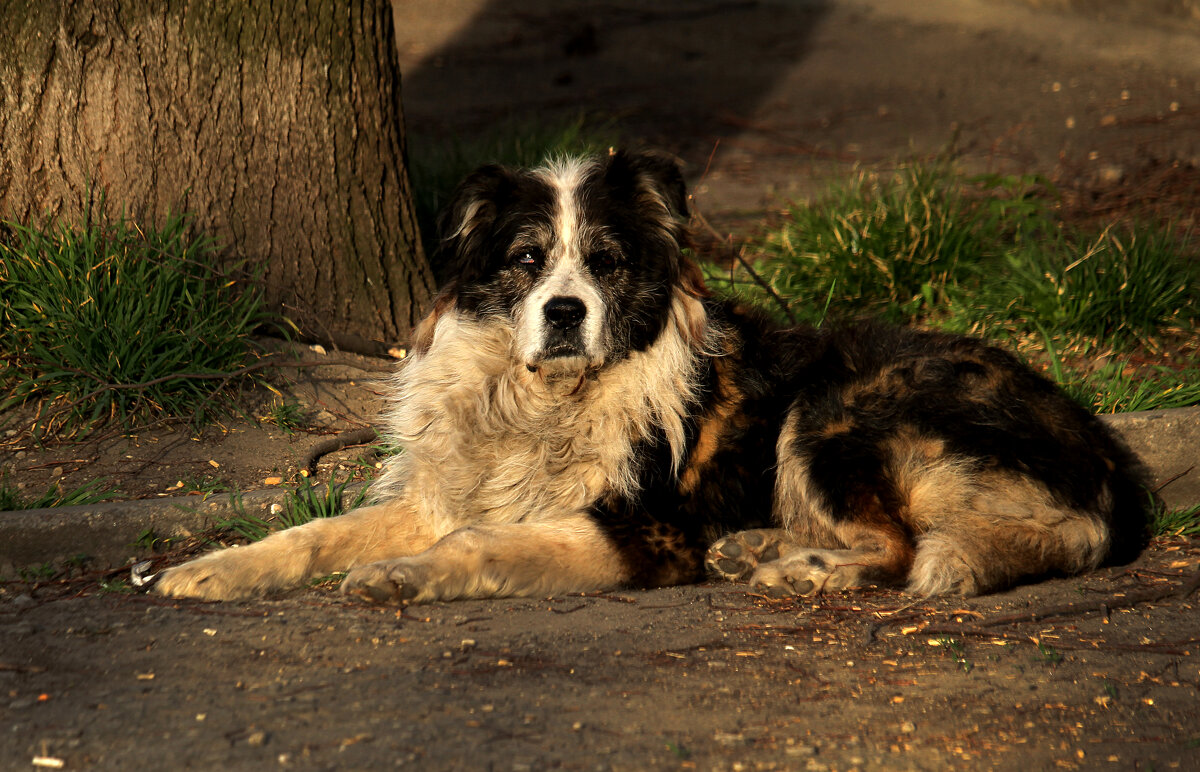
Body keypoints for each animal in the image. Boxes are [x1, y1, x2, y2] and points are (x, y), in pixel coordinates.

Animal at [154, 149, 1147, 605]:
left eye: (606, 262)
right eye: (525, 260)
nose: (564, 312)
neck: (547, 402)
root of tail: (1101, 465)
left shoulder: (644, 528)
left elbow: (478, 544)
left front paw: (398, 576)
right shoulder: (440, 494)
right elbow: (311, 534)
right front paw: (209, 570)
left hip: (835, 409)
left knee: (905, 550)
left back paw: (795, 569)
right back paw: (765, 547)